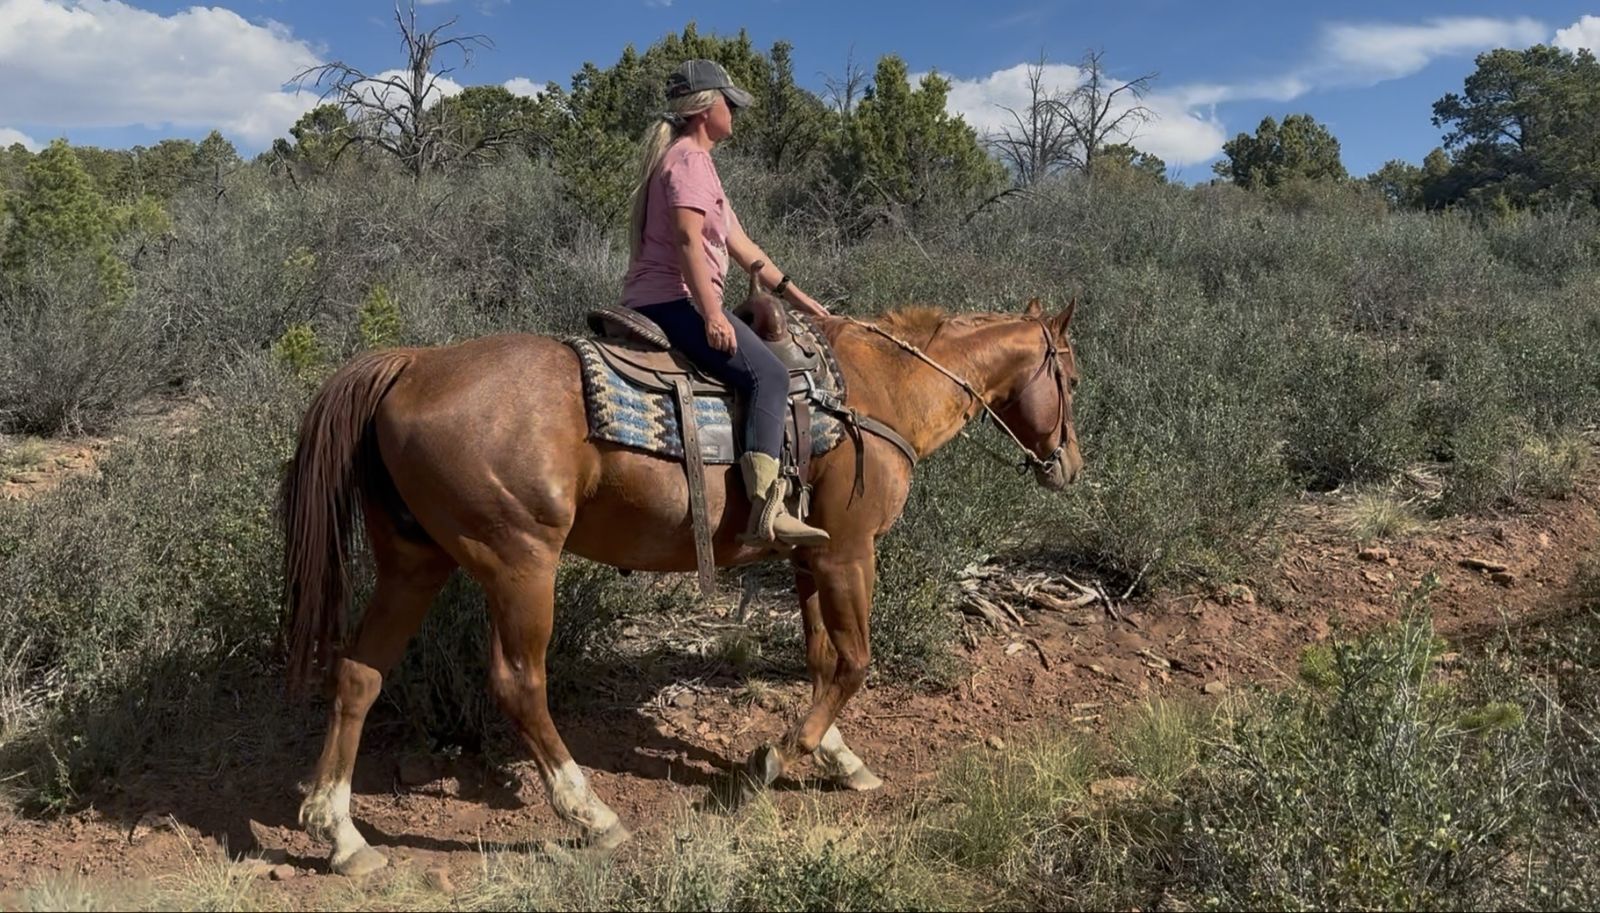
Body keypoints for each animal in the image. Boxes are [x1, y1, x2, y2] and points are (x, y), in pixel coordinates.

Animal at [280, 296, 1083, 875]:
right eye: (1070, 379)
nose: (1068, 463)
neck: (876, 391)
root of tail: (410, 366)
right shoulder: (852, 554)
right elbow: (855, 661)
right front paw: (782, 753)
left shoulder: (809, 558)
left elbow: (823, 657)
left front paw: (836, 755)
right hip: (520, 563)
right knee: (518, 683)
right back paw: (590, 813)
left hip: (413, 564)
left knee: (359, 674)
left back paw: (340, 833)